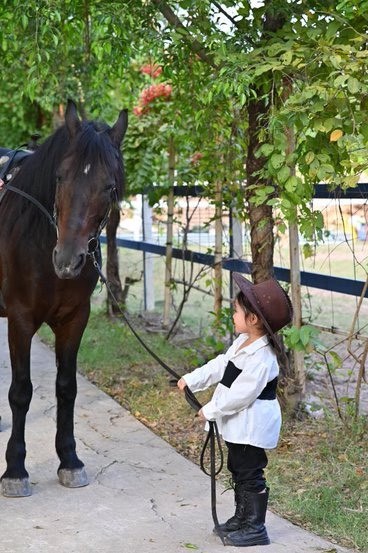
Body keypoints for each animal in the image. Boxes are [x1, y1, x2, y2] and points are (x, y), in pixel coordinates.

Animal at [0, 99, 128, 496]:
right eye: (60, 177)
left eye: (109, 186)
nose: (68, 260)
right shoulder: (20, 319)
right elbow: (21, 391)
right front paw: (15, 469)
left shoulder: (75, 319)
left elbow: (67, 388)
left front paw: (69, 460)